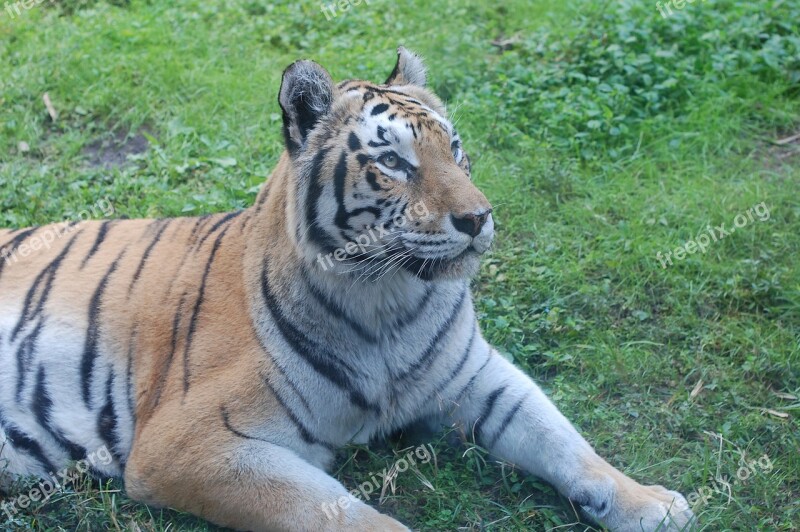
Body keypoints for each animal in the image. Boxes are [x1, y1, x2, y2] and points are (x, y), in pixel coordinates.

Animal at [0, 47, 692, 528]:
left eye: (455, 148)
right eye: (392, 162)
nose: (478, 219)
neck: (391, 302)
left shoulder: (476, 375)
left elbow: (563, 438)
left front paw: (648, 503)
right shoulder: (187, 446)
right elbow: (340, 514)